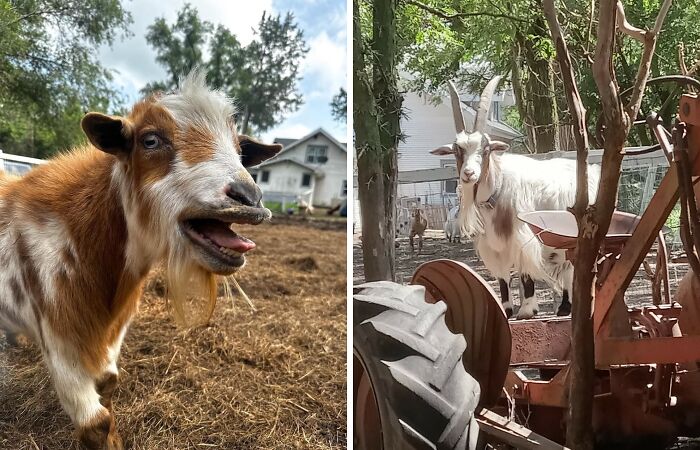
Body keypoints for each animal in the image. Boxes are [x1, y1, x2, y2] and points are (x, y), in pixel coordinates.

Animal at [0, 71, 281, 449]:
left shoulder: (112, 333)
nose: (248, 197)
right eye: (150, 140)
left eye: (240, 150)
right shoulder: (59, 338)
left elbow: (108, 384)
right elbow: (96, 422)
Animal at [430, 76, 600, 319]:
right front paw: (507, 310)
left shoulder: (523, 237)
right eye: (456, 149)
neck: (499, 189)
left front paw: (527, 310)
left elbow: (525, 274)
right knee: (569, 266)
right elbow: (503, 278)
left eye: (485, 148)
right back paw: (564, 307)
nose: (469, 173)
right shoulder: (494, 247)